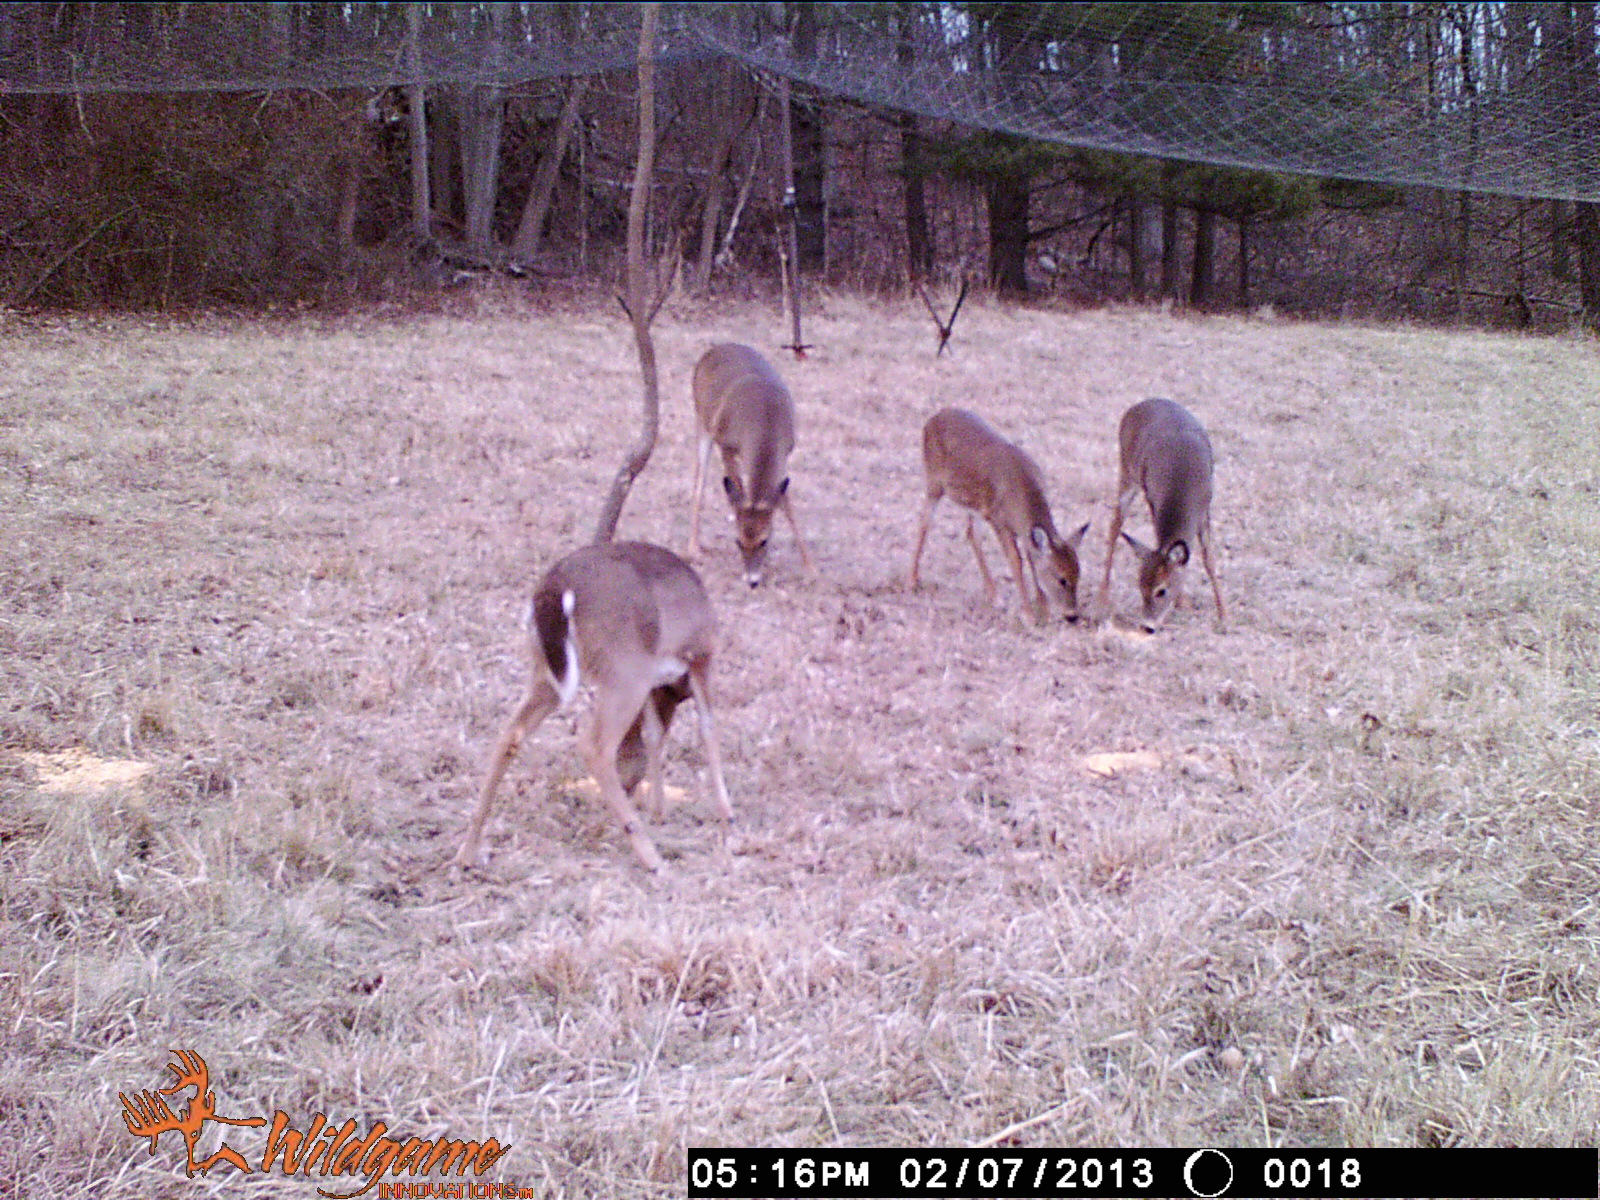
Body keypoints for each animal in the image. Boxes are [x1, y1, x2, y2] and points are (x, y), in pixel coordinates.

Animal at [454, 544, 732, 876]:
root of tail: (556, 588)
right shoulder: (700, 657)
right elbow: (708, 727)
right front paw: (726, 814)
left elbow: (654, 735)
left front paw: (658, 810)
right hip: (626, 670)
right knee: (594, 746)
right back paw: (652, 858)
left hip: (546, 671)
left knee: (510, 733)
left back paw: (468, 851)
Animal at [688, 342, 812, 588]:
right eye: (738, 541)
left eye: (764, 541)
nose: (752, 581)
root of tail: (715, 348)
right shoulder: (725, 443)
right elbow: (736, 487)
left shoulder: (785, 453)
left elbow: (786, 503)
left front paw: (809, 568)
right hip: (702, 421)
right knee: (699, 481)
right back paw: (693, 549)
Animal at [915, 409, 1088, 624]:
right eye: (1061, 578)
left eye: (1078, 574)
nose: (1072, 615)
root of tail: (932, 418)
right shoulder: (998, 519)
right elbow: (1016, 560)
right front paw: (1028, 615)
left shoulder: (1020, 527)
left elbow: (1032, 558)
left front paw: (1043, 609)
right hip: (934, 481)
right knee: (924, 521)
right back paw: (912, 581)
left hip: (972, 504)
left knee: (971, 534)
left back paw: (994, 596)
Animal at [1100, 400, 1222, 633]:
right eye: (1140, 587)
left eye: (1161, 590)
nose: (1147, 626)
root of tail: (1140, 404)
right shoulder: (1153, 501)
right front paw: (1182, 602)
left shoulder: (1205, 508)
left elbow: (1209, 557)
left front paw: (1223, 615)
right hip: (1127, 471)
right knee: (1114, 525)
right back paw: (1103, 593)